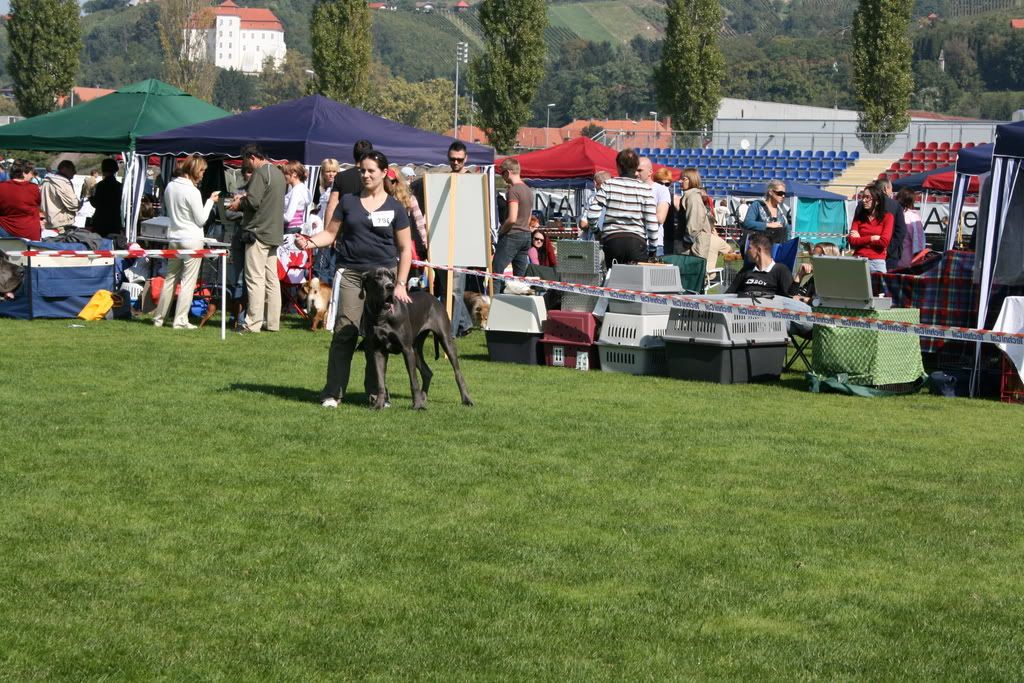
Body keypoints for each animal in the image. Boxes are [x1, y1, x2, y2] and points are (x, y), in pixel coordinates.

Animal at [361, 267, 473, 410]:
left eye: (392, 277)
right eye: (377, 277)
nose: (390, 286)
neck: (381, 315)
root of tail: (434, 298)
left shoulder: (406, 349)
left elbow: (413, 380)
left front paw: (418, 405)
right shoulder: (377, 351)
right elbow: (380, 381)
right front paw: (379, 404)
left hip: (445, 340)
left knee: (457, 372)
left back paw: (466, 399)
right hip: (416, 349)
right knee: (427, 372)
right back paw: (423, 397)